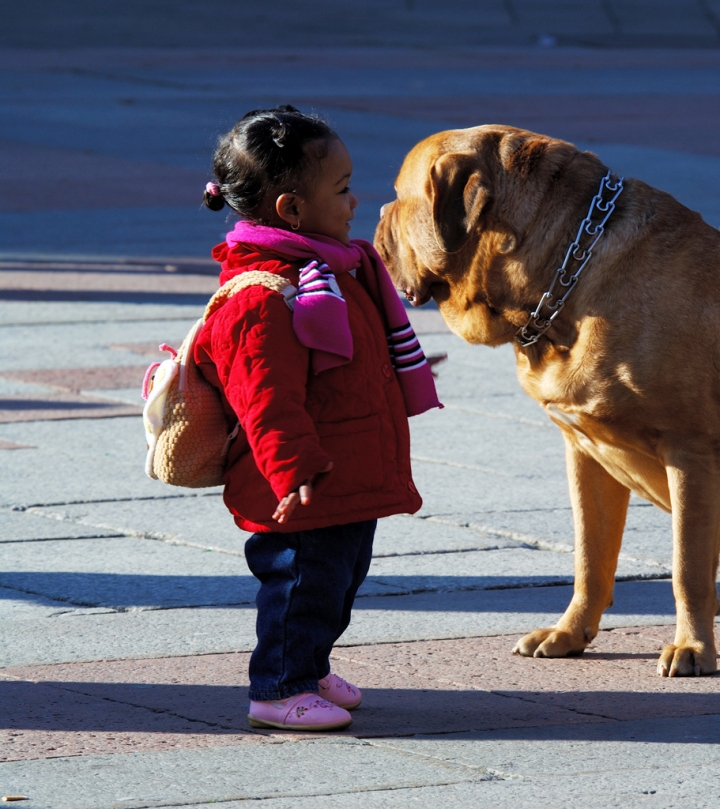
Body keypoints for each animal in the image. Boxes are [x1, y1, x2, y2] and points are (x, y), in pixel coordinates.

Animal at [374, 124, 720, 676]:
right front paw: (570, 633)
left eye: (400, 196)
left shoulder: (690, 453)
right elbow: (590, 557)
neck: (565, 280)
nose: (379, 214)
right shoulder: (586, 453)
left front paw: (692, 648)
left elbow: (687, 567)